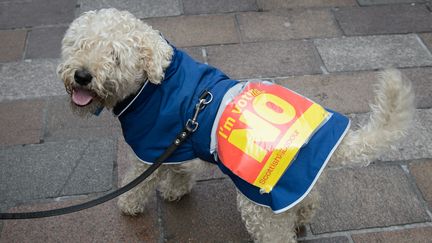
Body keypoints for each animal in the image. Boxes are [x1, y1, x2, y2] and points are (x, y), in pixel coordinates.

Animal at [57, 8, 416, 242]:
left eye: (115, 56)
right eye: (78, 45)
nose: (82, 76)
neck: (154, 84)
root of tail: (337, 145)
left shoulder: (152, 147)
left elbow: (138, 181)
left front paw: (129, 204)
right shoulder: (178, 142)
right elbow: (180, 171)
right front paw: (176, 190)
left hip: (260, 204)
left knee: (276, 235)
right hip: (300, 186)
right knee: (309, 203)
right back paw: (302, 219)